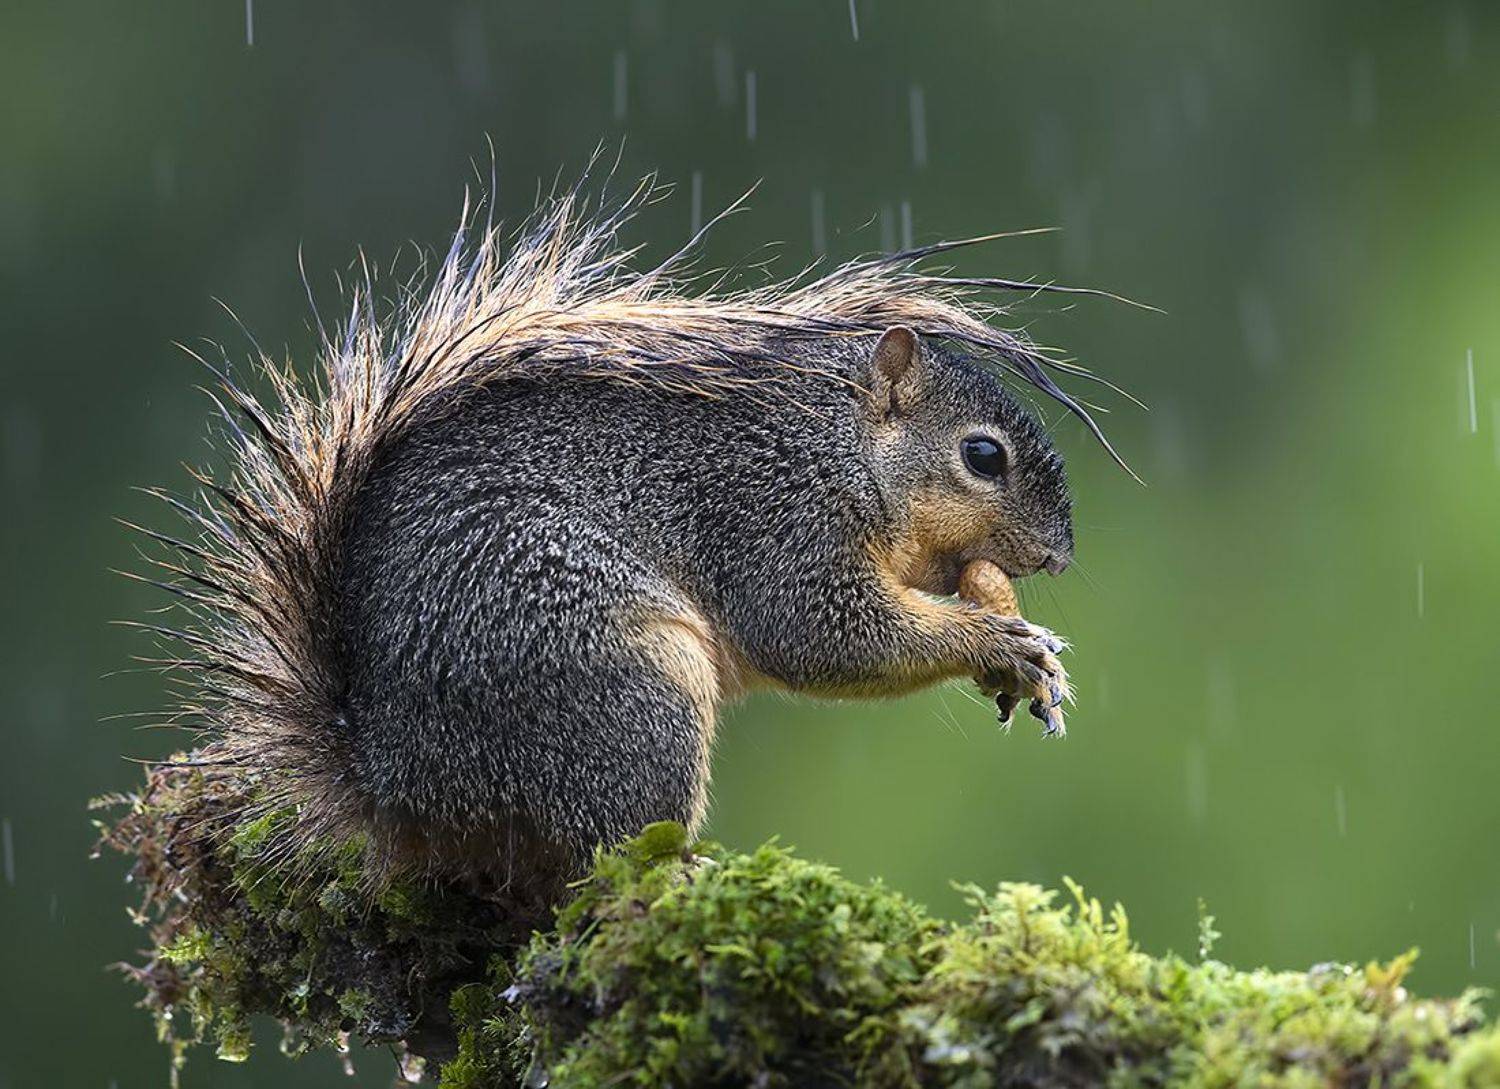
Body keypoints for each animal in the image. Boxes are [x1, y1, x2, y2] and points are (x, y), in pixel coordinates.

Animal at [131, 178, 1118, 899]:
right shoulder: (776, 518)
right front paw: (994, 638)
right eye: (982, 456)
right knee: (603, 852)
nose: (1058, 556)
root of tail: (394, 778)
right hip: (625, 689)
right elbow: (822, 635)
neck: (844, 447)